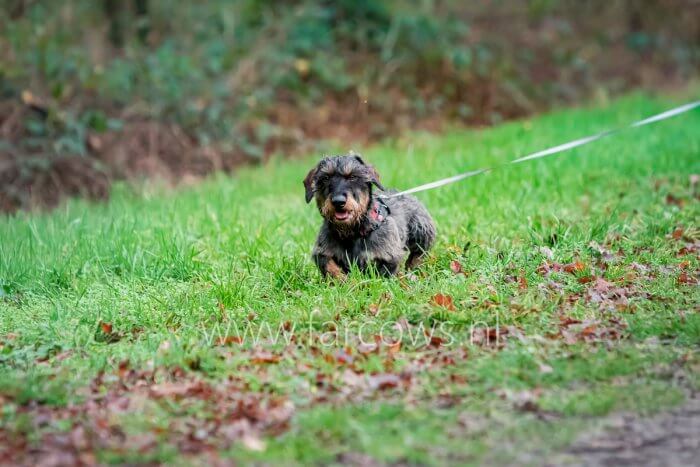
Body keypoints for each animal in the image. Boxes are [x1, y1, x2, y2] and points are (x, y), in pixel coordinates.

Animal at [304, 153, 434, 278]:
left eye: (353, 176)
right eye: (325, 178)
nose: (338, 201)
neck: (352, 233)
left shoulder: (388, 256)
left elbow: (383, 273)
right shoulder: (322, 252)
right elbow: (329, 266)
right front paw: (342, 279)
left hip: (421, 229)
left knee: (419, 253)